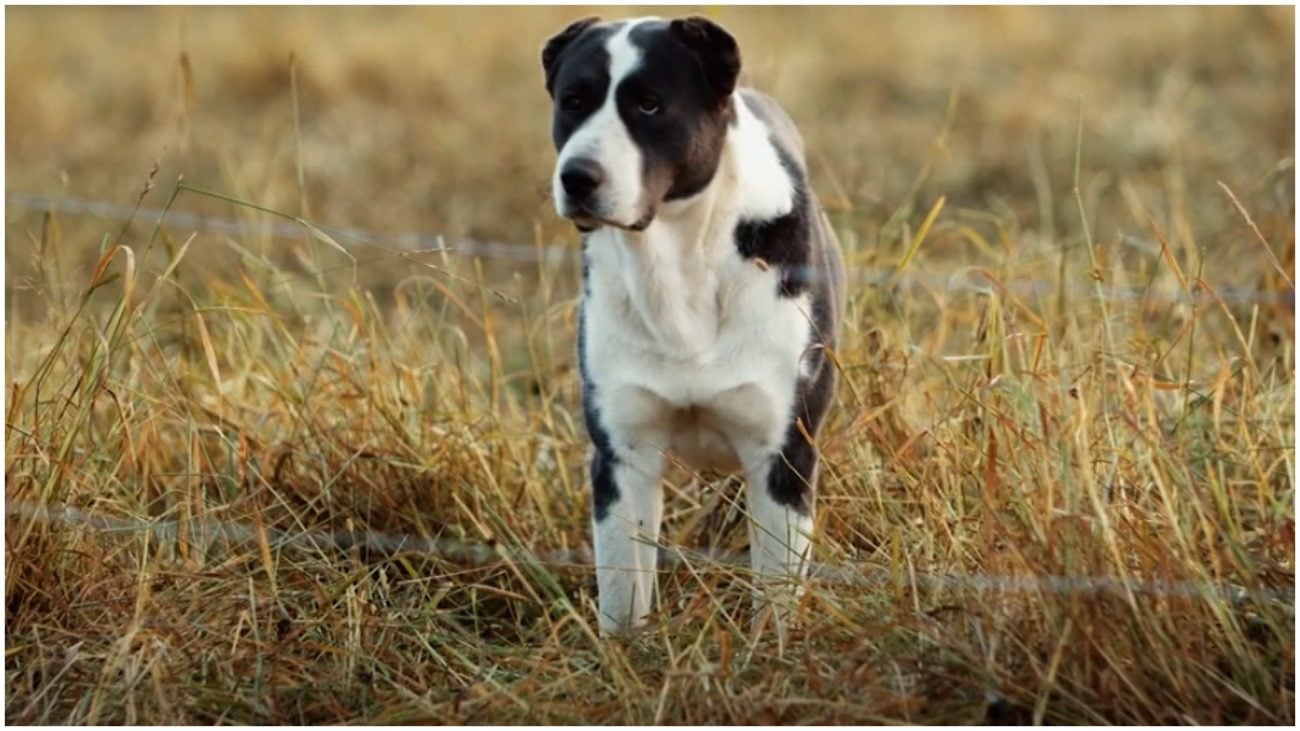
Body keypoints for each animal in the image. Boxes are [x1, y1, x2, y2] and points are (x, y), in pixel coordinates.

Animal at [538, 15, 842, 632]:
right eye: (573, 101)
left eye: (650, 105)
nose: (577, 177)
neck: (678, 261)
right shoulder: (622, 454)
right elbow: (623, 590)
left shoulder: (783, 453)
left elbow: (776, 594)